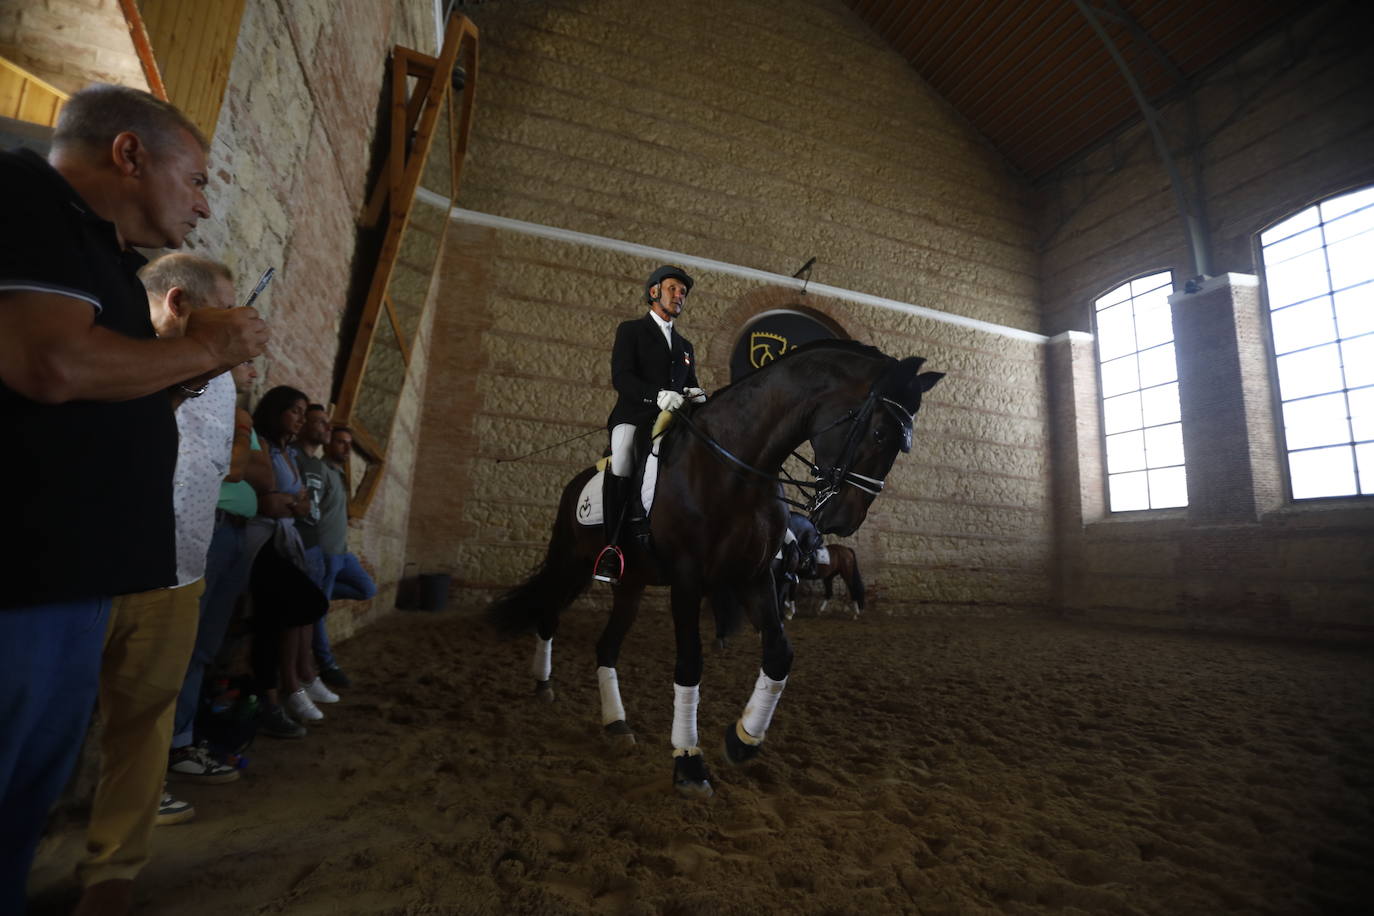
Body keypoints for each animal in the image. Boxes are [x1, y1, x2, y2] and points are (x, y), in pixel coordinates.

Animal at [486, 340, 945, 796]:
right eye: (880, 433)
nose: (843, 520)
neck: (737, 466)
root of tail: (575, 483)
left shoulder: (755, 577)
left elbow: (779, 654)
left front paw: (743, 739)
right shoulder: (688, 579)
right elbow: (690, 663)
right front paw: (688, 760)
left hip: (630, 584)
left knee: (606, 647)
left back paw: (615, 724)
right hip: (573, 561)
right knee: (548, 611)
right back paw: (544, 683)